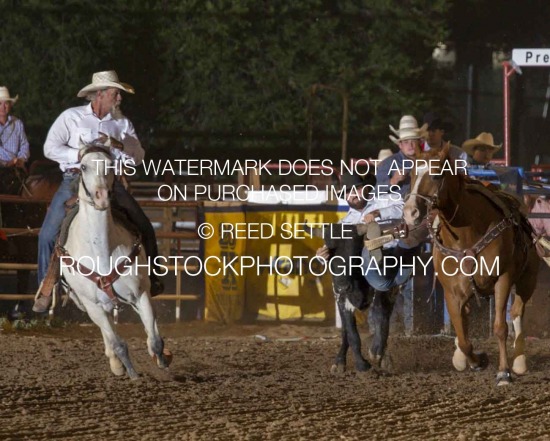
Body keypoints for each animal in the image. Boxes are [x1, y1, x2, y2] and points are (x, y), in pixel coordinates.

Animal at [59, 144, 171, 378]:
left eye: (110, 165)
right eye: (83, 166)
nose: (101, 196)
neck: (101, 250)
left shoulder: (140, 293)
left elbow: (155, 339)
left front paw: (163, 364)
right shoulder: (92, 305)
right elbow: (118, 343)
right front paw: (132, 374)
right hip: (92, 305)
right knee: (108, 333)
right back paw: (116, 363)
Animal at [404, 144, 540, 384]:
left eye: (436, 174)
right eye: (411, 174)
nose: (410, 212)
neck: (466, 234)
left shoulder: (503, 279)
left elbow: (500, 327)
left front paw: (504, 372)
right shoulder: (451, 292)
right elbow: (462, 335)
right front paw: (477, 360)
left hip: (527, 279)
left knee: (516, 312)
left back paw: (519, 360)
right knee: (466, 320)